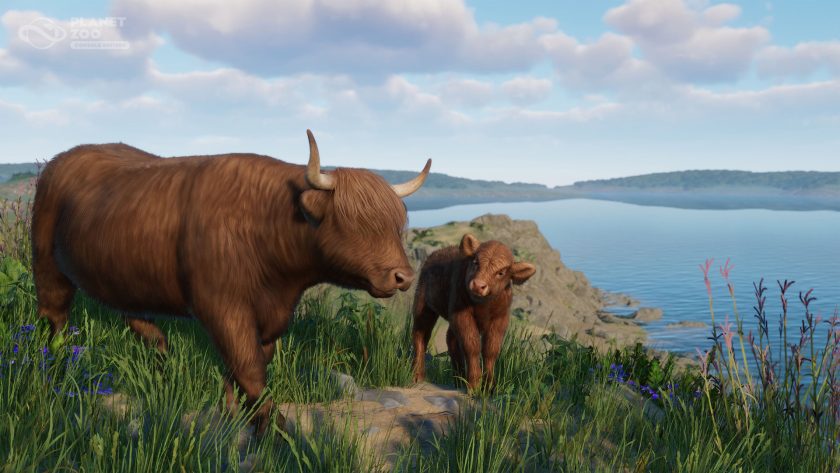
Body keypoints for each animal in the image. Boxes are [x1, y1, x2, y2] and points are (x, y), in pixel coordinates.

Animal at [31, 130, 430, 434]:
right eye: (356, 222)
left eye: (396, 223)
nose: (404, 276)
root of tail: (60, 160)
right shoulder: (224, 308)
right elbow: (249, 368)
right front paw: (276, 430)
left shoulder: (269, 316)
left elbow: (242, 366)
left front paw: (235, 414)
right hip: (48, 267)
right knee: (54, 318)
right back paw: (54, 369)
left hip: (127, 280)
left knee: (142, 324)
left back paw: (162, 365)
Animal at [411, 233, 536, 391]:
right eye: (476, 262)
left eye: (501, 272)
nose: (478, 285)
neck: (483, 305)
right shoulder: (462, 315)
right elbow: (472, 345)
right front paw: (475, 384)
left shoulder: (500, 320)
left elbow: (490, 350)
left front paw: (489, 386)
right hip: (423, 307)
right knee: (421, 335)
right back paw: (417, 376)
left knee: (451, 339)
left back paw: (459, 380)